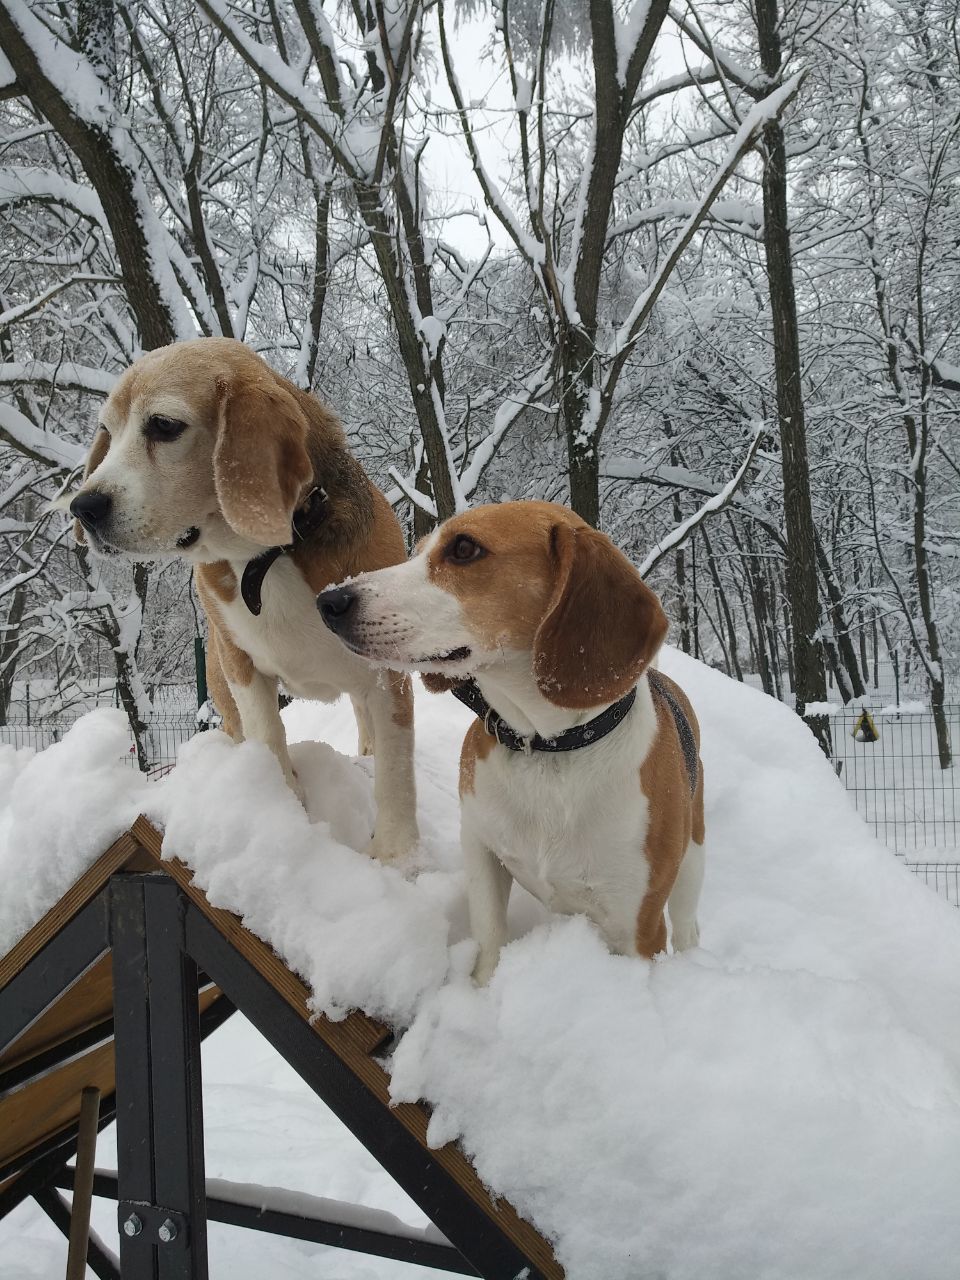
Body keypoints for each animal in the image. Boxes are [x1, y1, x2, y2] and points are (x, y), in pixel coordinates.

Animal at [69, 335, 422, 865]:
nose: (83, 507)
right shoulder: (242, 666)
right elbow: (270, 739)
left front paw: (397, 857)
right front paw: (287, 814)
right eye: (107, 432)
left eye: (164, 426)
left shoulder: (385, 671)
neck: (266, 557)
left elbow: (396, 770)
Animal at [320, 499, 701, 977]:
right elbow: (489, 937)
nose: (329, 600)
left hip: (692, 858)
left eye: (464, 548)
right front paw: (484, 986)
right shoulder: (480, 846)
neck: (547, 749)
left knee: (687, 922)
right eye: (418, 550)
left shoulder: (639, 929)